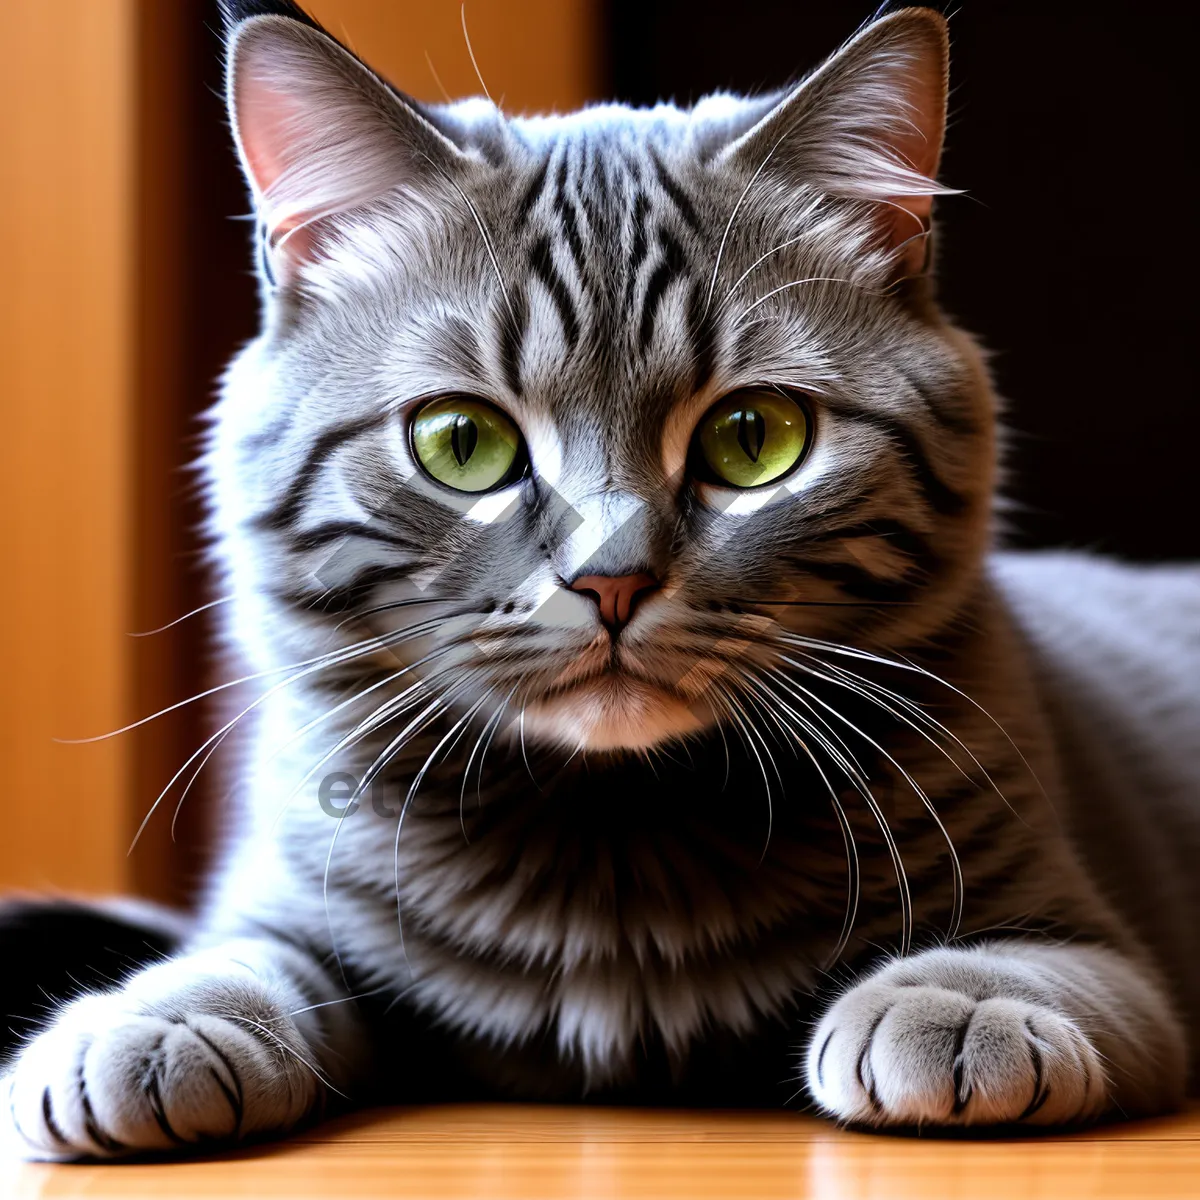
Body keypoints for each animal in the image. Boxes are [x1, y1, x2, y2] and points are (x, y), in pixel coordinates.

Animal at [4, 2, 1195, 1152]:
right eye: (461, 443)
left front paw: (962, 1004)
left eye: (755, 438)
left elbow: (1031, 963)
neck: (609, 847)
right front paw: (156, 1016)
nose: (612, 579)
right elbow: (241, 954)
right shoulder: (285, 901)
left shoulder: (1098, 946)